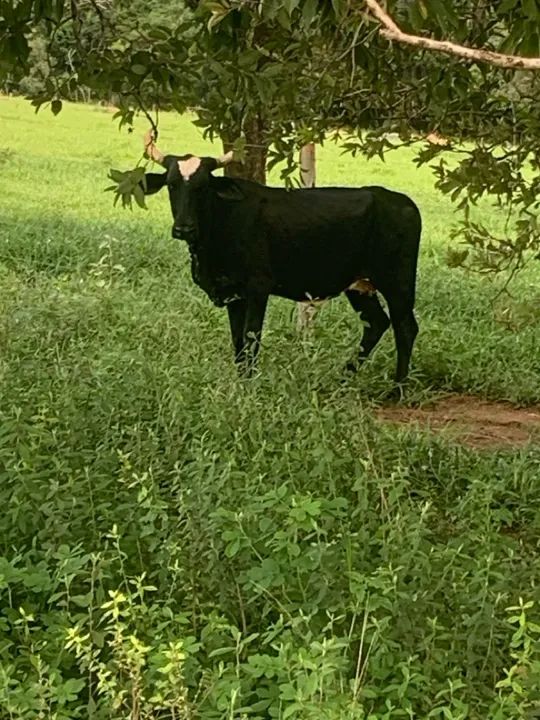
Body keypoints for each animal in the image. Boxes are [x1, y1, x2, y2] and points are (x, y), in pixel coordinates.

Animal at [140, 130, 421, 389]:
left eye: (202, 187)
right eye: (172, 184)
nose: (183, 229)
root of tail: (400, 200)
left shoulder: (257, 287)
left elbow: (251, 337)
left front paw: (249, 387)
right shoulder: (234, 295)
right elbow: (238, 342)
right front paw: (240, 382)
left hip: (398, 282)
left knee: (405, 327)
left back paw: (397, 389)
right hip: (359, 286)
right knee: (376, 323)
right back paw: (343, 378)